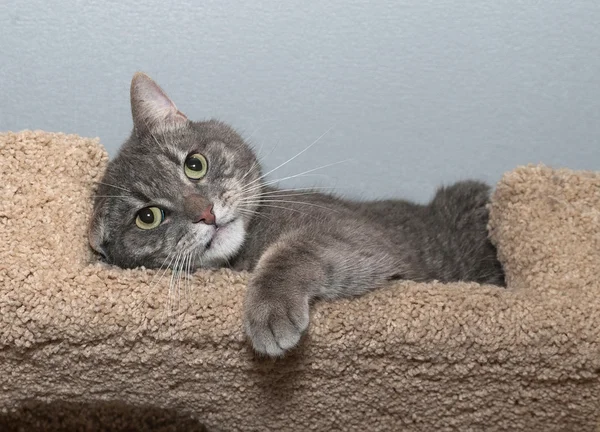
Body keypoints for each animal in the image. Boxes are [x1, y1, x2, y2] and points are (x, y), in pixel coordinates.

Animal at [88, 72, 502, 356]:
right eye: (148, 217)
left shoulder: (360, 235)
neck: (245, 254)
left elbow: (295, 249)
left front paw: (270, 310)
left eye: (194, 164)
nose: (206, 214)